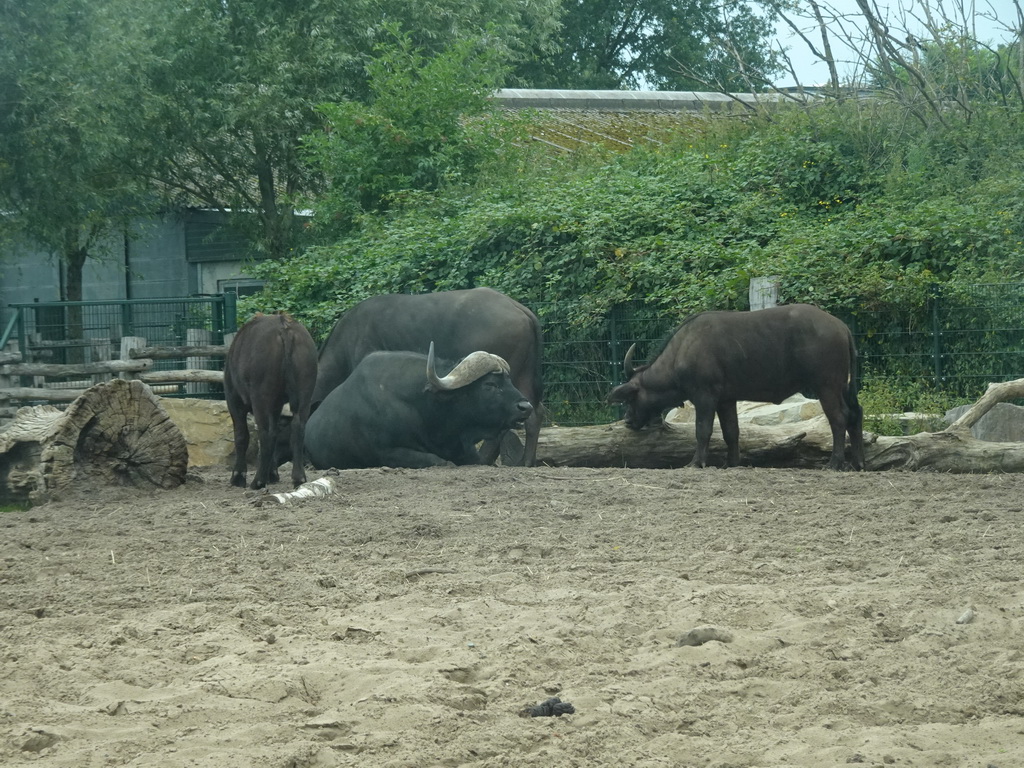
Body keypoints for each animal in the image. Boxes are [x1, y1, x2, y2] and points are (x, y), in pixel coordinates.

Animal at [225, 313, 317, 489]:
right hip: (304, 395)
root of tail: (284, 327)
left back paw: (258, 481)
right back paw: (299, 477)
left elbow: (241, 435)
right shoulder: (276, 407)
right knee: (297, 428)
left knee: (265, 433)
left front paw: (238, 476)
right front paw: (273, 473)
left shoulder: (234, 401)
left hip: (261, 398)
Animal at [606, 303, 864, 473]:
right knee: (855, 414)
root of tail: (841, 327)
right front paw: (731, 463)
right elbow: (731, 432)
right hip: (843, 387)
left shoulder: (705, 397)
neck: (681, 353)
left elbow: (703, 430)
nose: (628, 420)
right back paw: (858, 462)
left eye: (631, 398)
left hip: (827, 386)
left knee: (839, 418)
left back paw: (835, 463)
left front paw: (696, 462)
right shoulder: (726, 400)